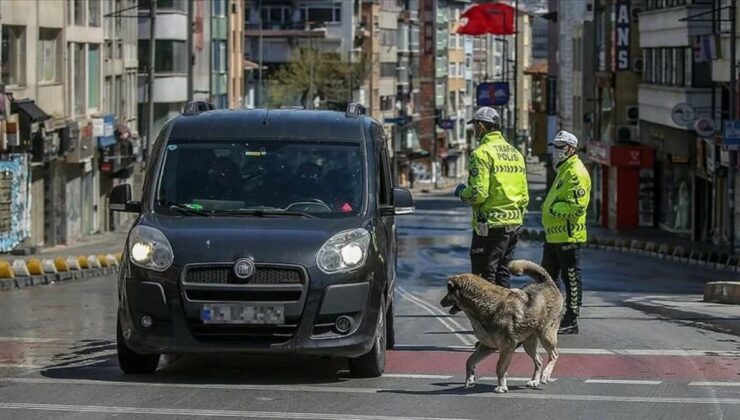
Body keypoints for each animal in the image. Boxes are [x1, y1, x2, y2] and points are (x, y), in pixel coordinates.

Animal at [440, 260, 560, 394]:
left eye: (449, 291)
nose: (441, 302)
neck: (484, 305)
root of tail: (547, 283)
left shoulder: (507, 348)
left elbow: (499, 367)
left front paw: (501, 386)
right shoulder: (487, 346)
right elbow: (470, 360)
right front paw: (470, 379)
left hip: (545, 334)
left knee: (554, 355)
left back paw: (546, 375)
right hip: (529, 344)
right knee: (539, 361)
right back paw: (534, 380)